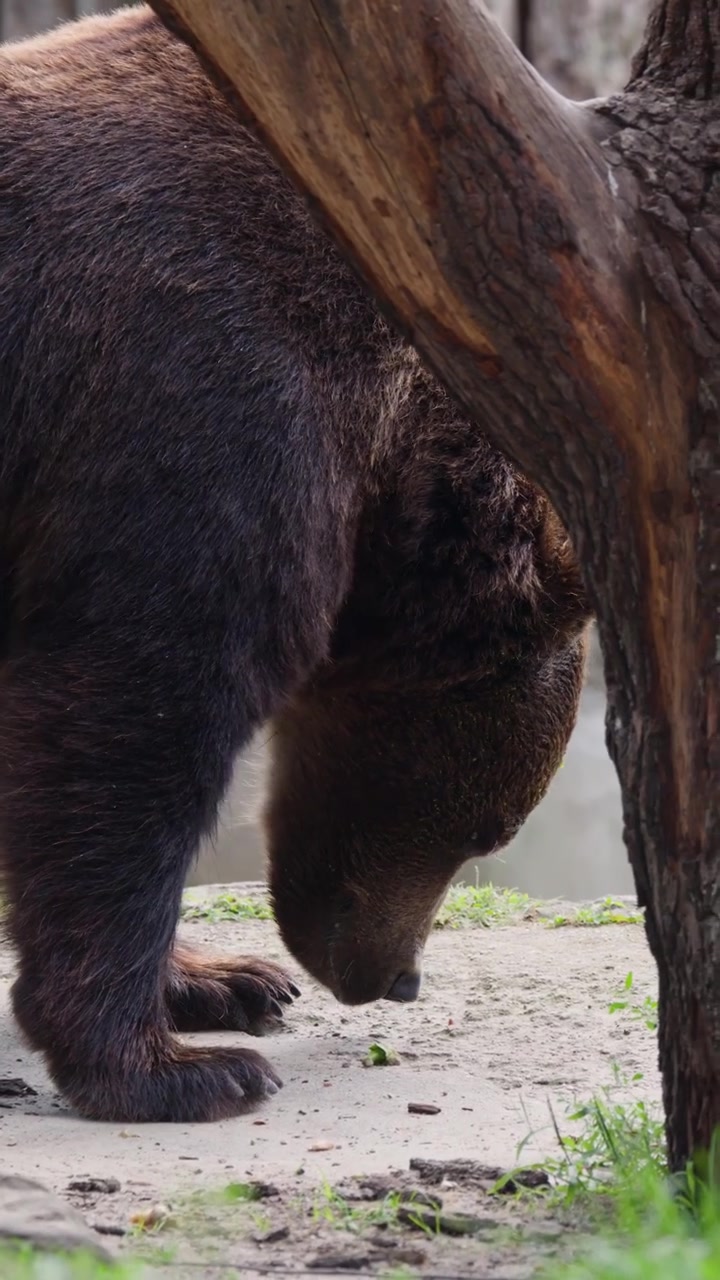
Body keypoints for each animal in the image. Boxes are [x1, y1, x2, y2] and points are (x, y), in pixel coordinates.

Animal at [0, 6, 591, 1123]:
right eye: (491, 829)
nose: (394, 977)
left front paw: (223, 979)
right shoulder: (205, 389)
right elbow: (133, 719)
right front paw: (174, 1065)